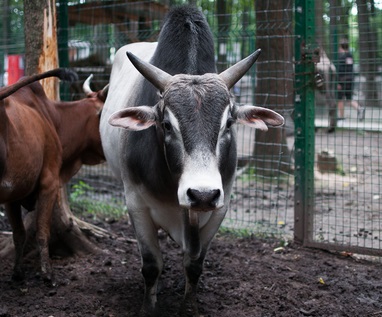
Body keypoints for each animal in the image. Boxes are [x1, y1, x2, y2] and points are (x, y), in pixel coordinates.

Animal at [0, 68, 106, 282]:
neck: (52, 117)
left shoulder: (12, 195)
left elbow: (19, 234)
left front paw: (17, 272)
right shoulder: (49, 182)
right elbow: (42, 231)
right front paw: (46, 272)